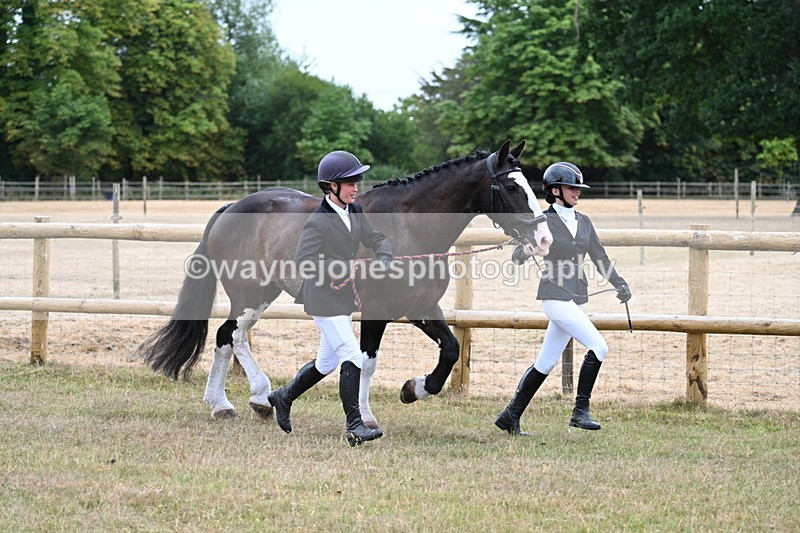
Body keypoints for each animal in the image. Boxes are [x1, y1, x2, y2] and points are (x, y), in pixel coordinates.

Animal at [138, 140, 552, 426]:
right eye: (512, 188)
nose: (544, 238)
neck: (409, 227)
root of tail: (231, 208)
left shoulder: (419, 307)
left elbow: (450, 350)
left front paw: (413, 389)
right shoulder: (376, 311)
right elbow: (367, 363)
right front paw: (367, 416)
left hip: (264, 293)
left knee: (228, 337)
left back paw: (234, 403)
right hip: (248, 293)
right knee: (232, 335)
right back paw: (245, 398)